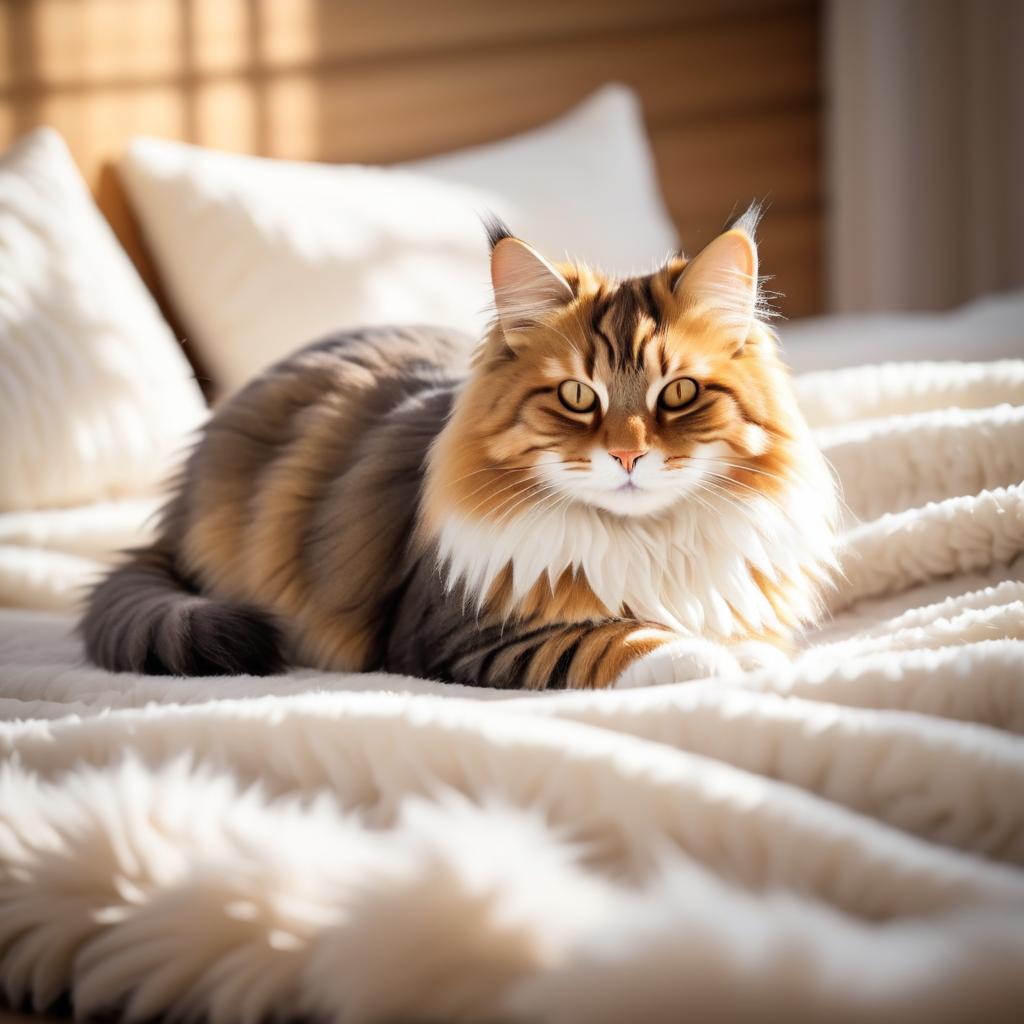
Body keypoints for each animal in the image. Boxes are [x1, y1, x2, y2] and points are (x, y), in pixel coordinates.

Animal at [81, 206, 839, 688]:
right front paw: (711, 660)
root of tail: (172, 513)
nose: (627, 457)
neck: (643, 540)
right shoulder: (455, 631)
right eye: (577, 396)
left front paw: (752, 654)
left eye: (678, 392)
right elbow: (610, 636)